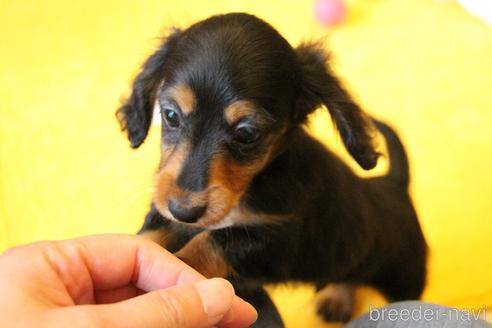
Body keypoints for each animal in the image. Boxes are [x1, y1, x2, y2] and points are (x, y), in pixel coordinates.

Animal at [116, 12, 426, 326]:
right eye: (170, 115)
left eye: (247, 133)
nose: (184, 210)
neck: (252, 186)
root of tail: (394, 184)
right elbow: (153, 236)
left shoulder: (280, 241)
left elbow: (213, 241)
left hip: (405, 280)